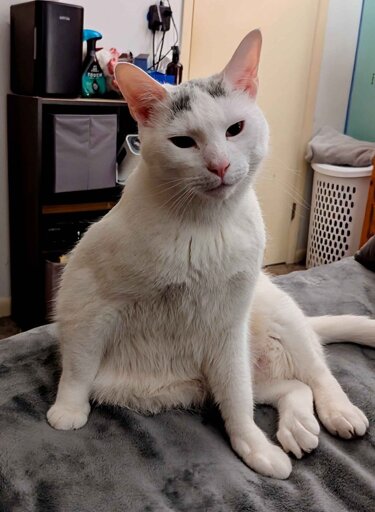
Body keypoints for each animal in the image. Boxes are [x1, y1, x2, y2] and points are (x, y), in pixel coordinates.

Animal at [46, 31, 374, 480]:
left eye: (235, 129)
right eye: (183, 141)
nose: (219, 165)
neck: (203, 228)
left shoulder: (227, 329)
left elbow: (237, 403)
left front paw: (252, 445)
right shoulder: (87, 302)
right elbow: (79, 365)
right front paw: (67, 410)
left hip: (275, 320)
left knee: (317, 374)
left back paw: (338, 413)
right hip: (249, 369)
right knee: (292, 387)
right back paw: (298, 430)